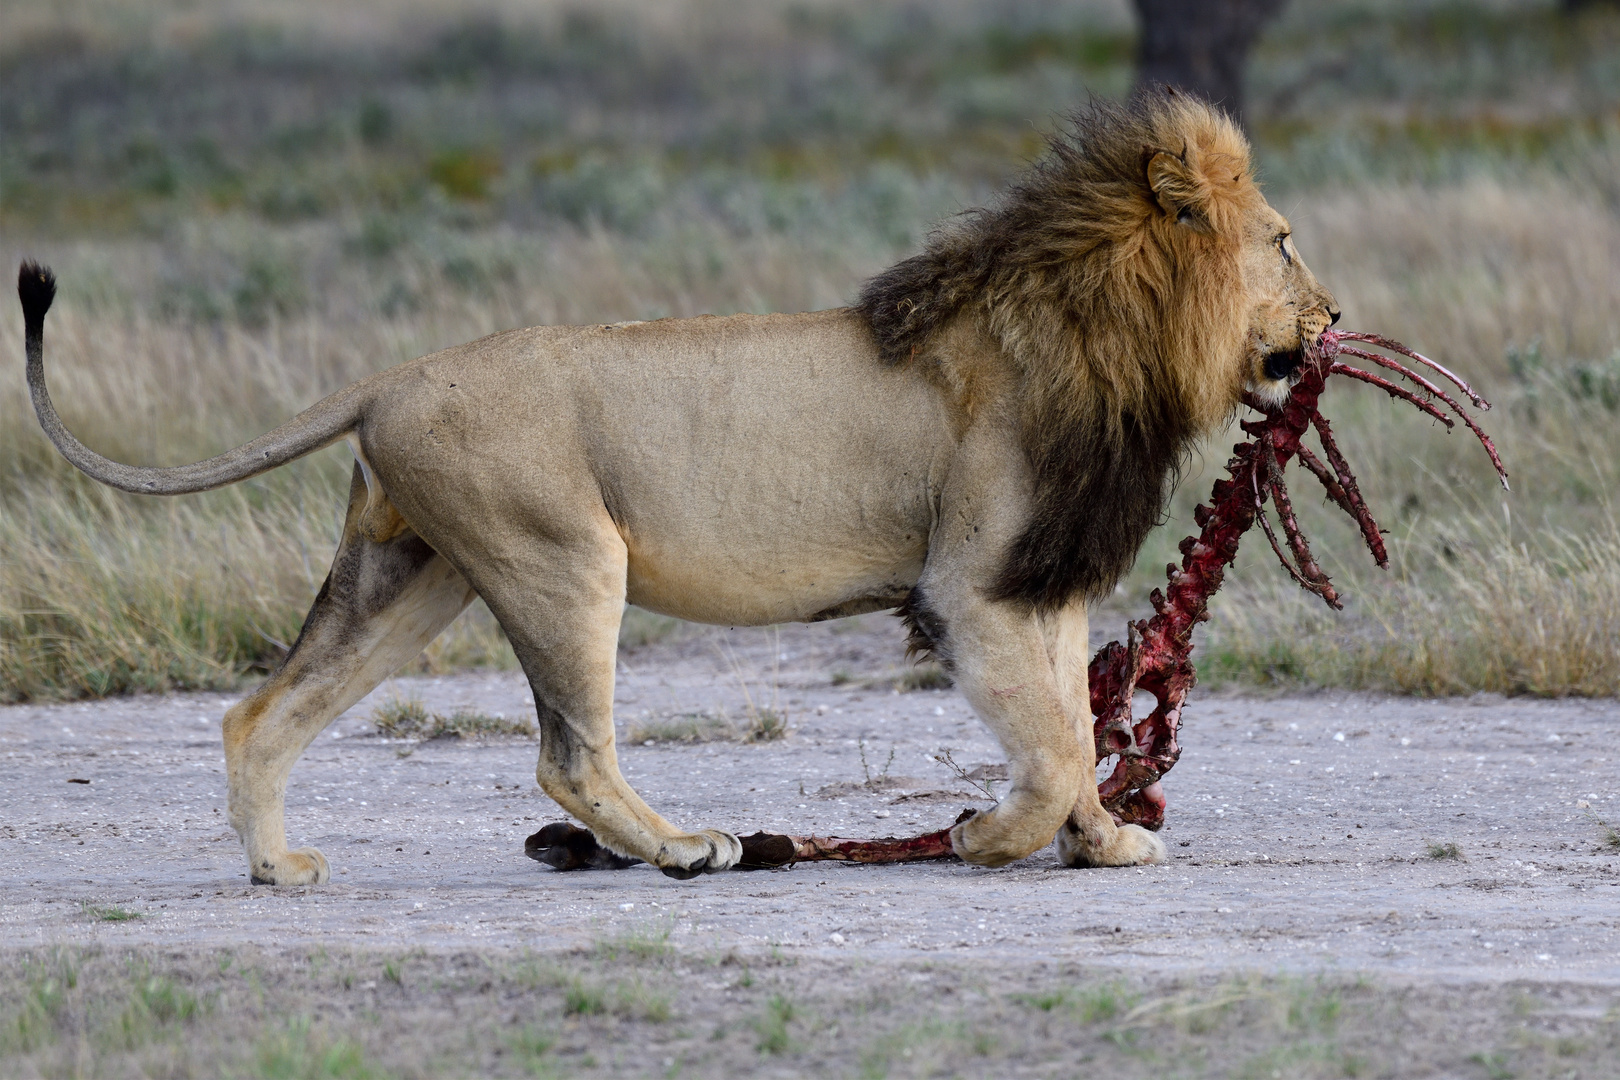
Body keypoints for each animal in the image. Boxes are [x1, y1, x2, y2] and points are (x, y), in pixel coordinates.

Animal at [19, 90, 1334, 887]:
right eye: (1282, 243)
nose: (1331, 318)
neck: (1100, 333)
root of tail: (386, 377)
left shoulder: (1037, 581)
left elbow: (1071, 722)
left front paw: (1104, 842)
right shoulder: (972, 585)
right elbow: (1055, 746)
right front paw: (984, 835)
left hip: (412, 577)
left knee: (263, 713)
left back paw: (275, 868)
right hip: (561, 558)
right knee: (569, 756)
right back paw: (687, 849)